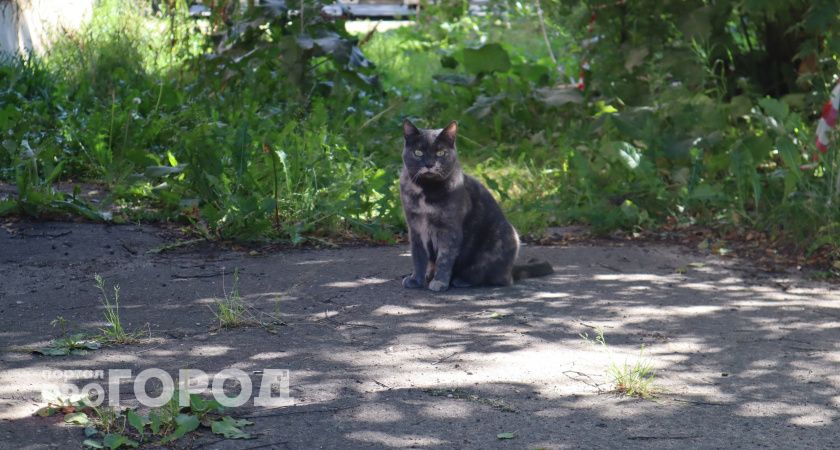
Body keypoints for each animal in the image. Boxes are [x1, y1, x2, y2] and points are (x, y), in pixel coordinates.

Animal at [398, 118, 552, 292]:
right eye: (418, 153)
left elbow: (444, 258)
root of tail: (511, 270)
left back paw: (461, 280)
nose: (429, 164)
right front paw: (416, 280)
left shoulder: (449, 230)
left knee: (493, 277)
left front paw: (440, 282)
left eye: (440, 153)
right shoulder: (415, 228)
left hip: (502, 240)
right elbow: (418, 257)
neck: (427, 190)